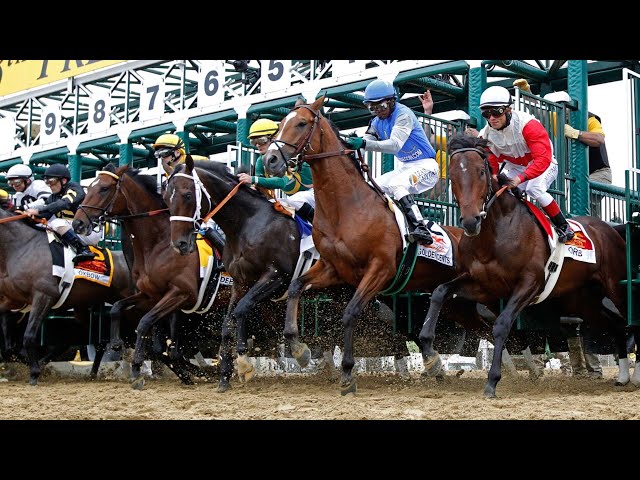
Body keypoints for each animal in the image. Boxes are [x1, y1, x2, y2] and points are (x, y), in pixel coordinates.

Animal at [0, 208, 134, 384]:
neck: (22, 247)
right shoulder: (12, 301)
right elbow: (9, 345)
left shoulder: (43, 297)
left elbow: (29, 336)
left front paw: (34, 372)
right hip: (84, 308)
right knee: (100, 338)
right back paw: (94, 371)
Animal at [72, 163, 228, 388]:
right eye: (90, 187)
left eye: (104, 189)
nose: (77, 223)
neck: (159, 244)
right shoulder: (150, 295)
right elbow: (117, 308)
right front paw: (117, 343)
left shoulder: (181, 294)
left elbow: (145, 324)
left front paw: (137, 369)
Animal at [165, 159, 304, 392]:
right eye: (166, 197)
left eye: (187, 195)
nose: (179, 244)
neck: (248, 223)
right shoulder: (240, 282)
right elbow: (226, 324)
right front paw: (224, 376)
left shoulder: (277, 275)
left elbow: (241, 310)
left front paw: (243, 361)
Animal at [260, 95, 496, 396]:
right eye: (280, 124)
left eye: (301, 123)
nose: (270, 159)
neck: (346, 206)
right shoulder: (333, 269)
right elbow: (295, 288)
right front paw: (299, 349)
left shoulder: (380, 269)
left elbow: (350, 313)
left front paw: (348, 374)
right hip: (457, 301)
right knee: (483, 327)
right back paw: (438, 363)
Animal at [416, 135, 636, 398]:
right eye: (452, 176)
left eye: (481, 172)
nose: (470, 222)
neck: (496, 233)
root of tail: (610, 230)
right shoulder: (481, 284)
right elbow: (440, 292)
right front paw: (430, 353)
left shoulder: (530, 284)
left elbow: (502, 325)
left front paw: (492, 381)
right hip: (582, 300)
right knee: (616, 325)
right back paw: (622, 376)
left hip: (615, 286)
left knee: (628, 320)